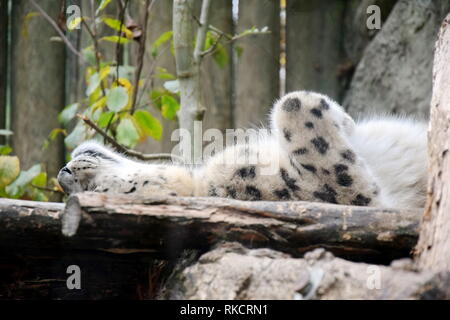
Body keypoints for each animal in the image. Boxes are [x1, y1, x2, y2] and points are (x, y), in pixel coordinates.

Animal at [58, 90, 428, 210]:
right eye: (96, 188)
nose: (64, 173)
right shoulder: (355, 194)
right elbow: (292, 104)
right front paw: (336, 115)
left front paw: (348, 121)